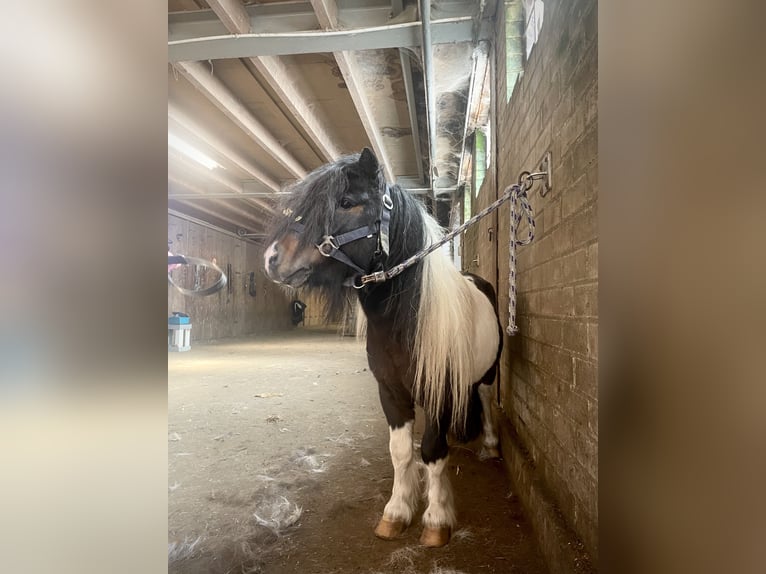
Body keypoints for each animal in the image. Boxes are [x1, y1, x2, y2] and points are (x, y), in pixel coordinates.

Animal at [263, 148, 503, 547]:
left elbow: (432, 451)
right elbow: (401, 452)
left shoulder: (437, 391)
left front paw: (436, 520)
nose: (271, 259)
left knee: (483, 399)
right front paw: (397, 512)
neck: (406, 322)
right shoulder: (390, 391)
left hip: (489, 371)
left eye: (346, 203)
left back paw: (489, 445)